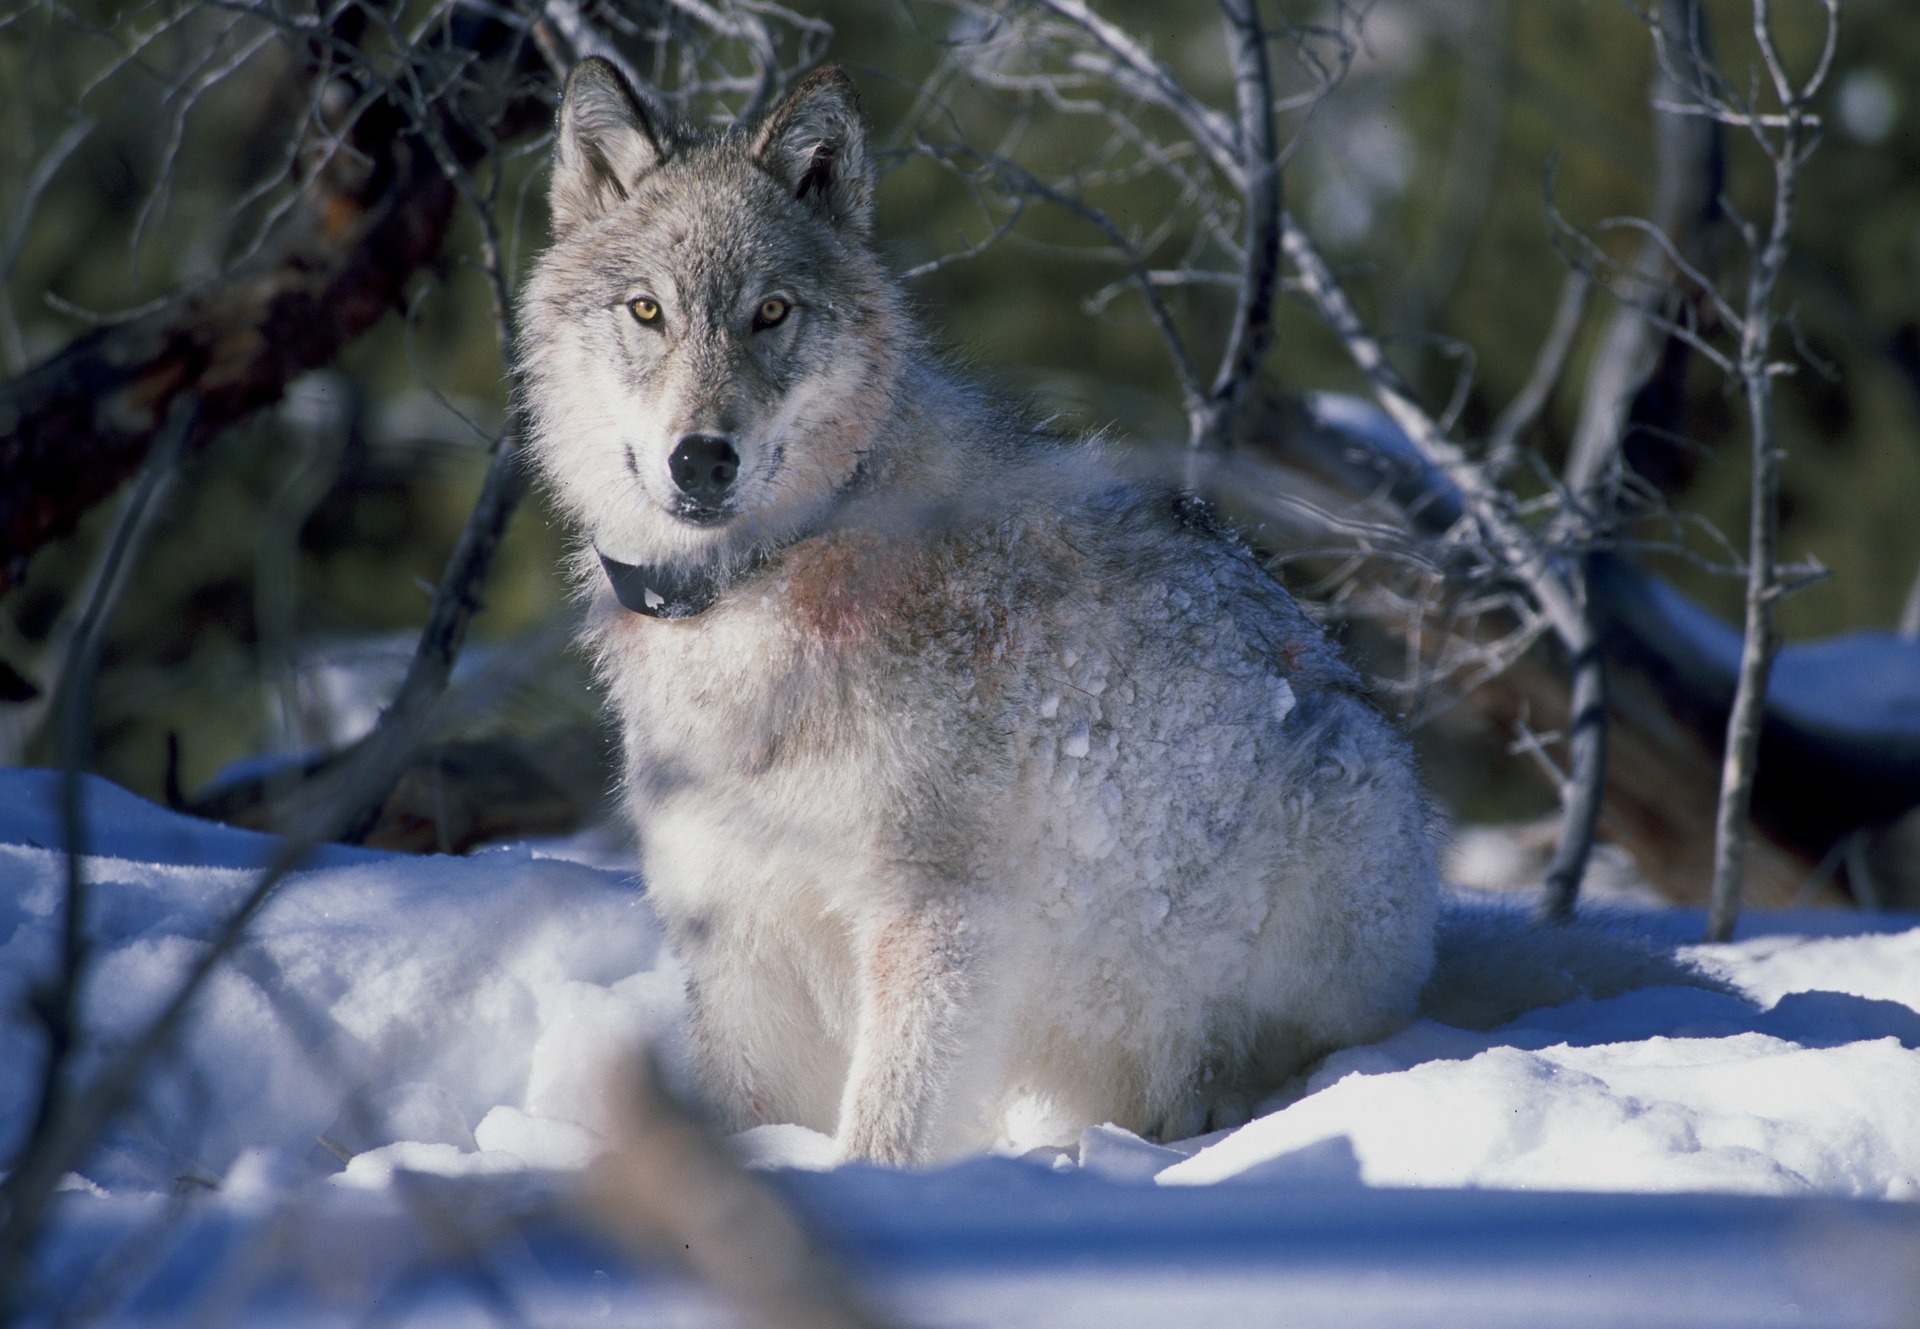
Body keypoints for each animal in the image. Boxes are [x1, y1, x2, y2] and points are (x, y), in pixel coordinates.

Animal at [514, 59, 1712, 1159]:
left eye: (770, 314)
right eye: (647, 311)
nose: (702, 458)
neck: (760, 588)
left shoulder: (935, 923)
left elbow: (886, 1131)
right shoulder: (740, 939)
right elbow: (747, 1119)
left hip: (1328, 797)